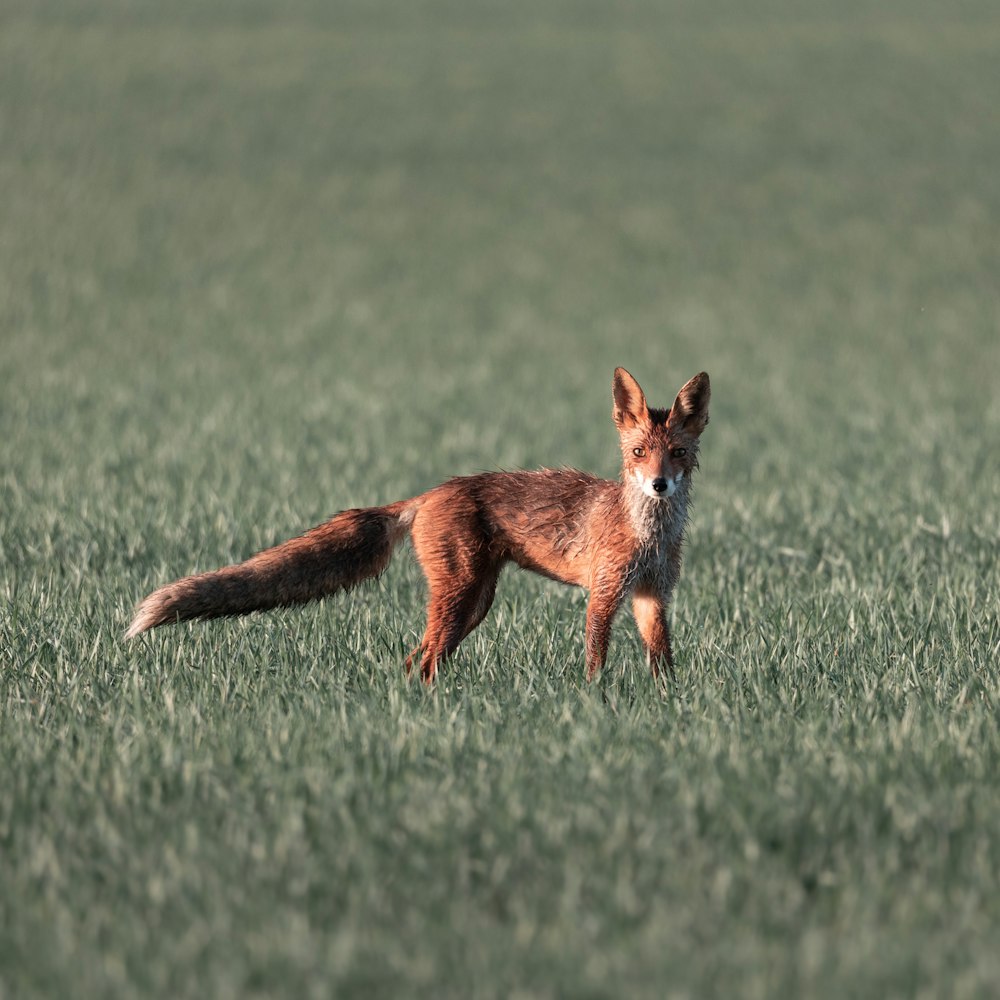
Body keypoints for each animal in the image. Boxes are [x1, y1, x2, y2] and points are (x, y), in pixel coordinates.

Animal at [127, 372, 712, 684]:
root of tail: (428, 493)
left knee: (417, 661)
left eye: (678, 454)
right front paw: (594, 702)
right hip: (462, 594)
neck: (650, 535)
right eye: (638, 453)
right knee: (423, 659)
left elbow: (663, 660)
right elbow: (596, 659)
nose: (659, 484)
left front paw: (667, 705)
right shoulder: (604, 592)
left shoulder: (652, 594)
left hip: (474, 603)